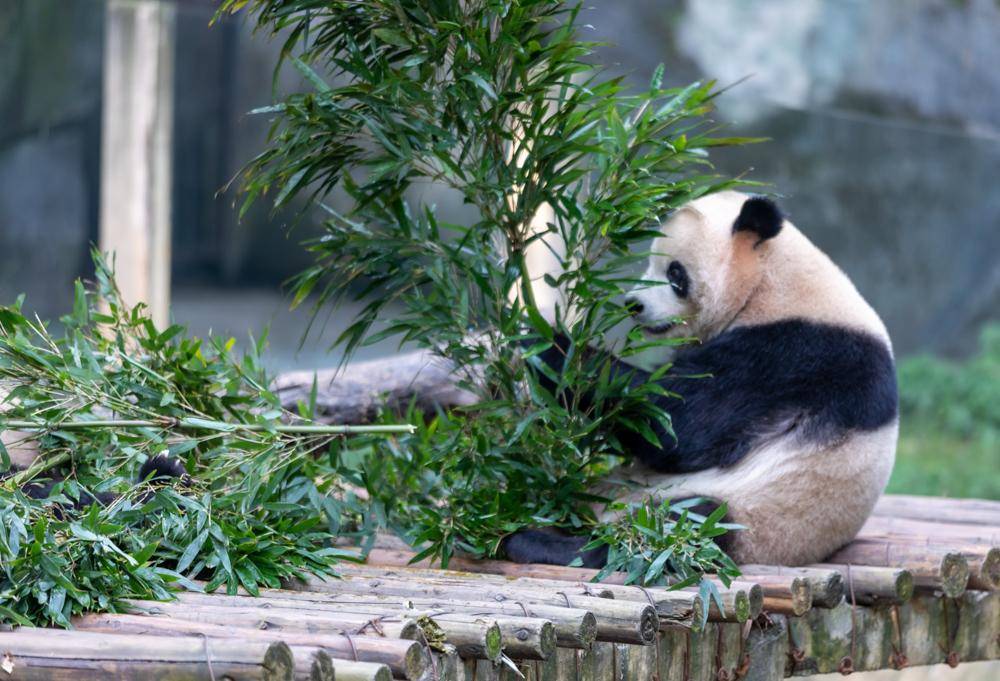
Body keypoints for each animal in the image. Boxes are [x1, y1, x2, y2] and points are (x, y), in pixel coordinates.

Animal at [504, 189, 904, 564]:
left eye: (675, 273)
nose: (634, 304)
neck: (769, 280)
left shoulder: (791, 355)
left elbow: (681, 425)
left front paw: (542, 338)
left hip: (758, 516)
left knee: (672, 529)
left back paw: (538, 542)